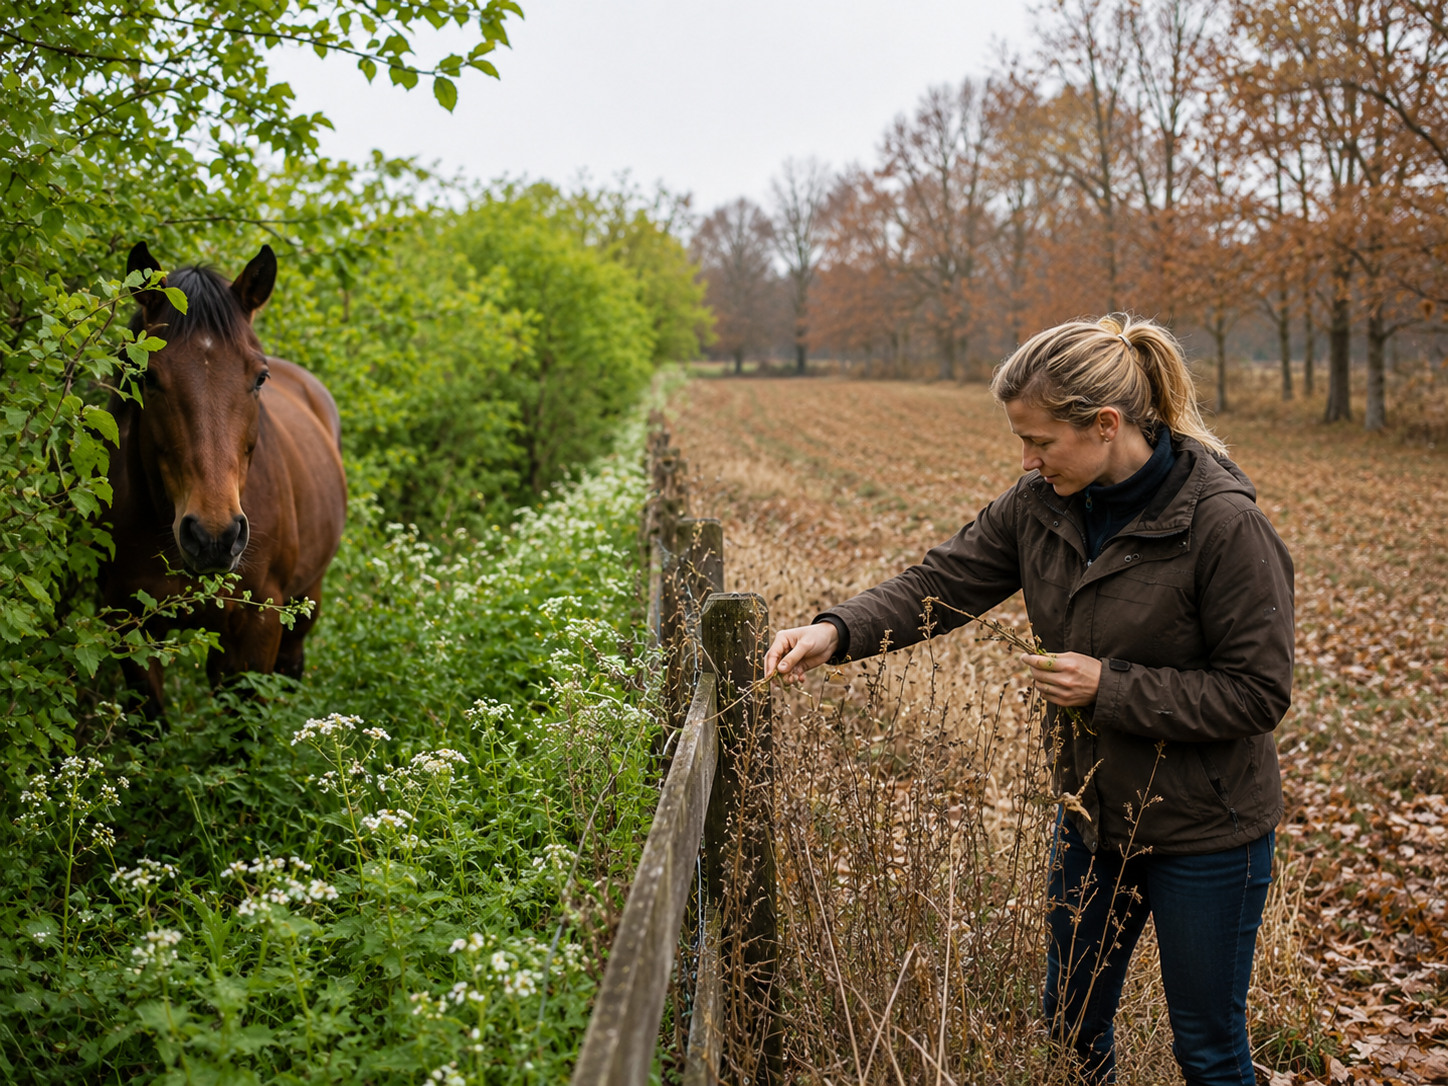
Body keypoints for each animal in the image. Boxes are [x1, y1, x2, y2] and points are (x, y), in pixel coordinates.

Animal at [102, 242, 348, 717]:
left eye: (260, 378)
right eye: (147, 376)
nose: (213, 536)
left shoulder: (260, 621)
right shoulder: (129, 624)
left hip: (306, 600)